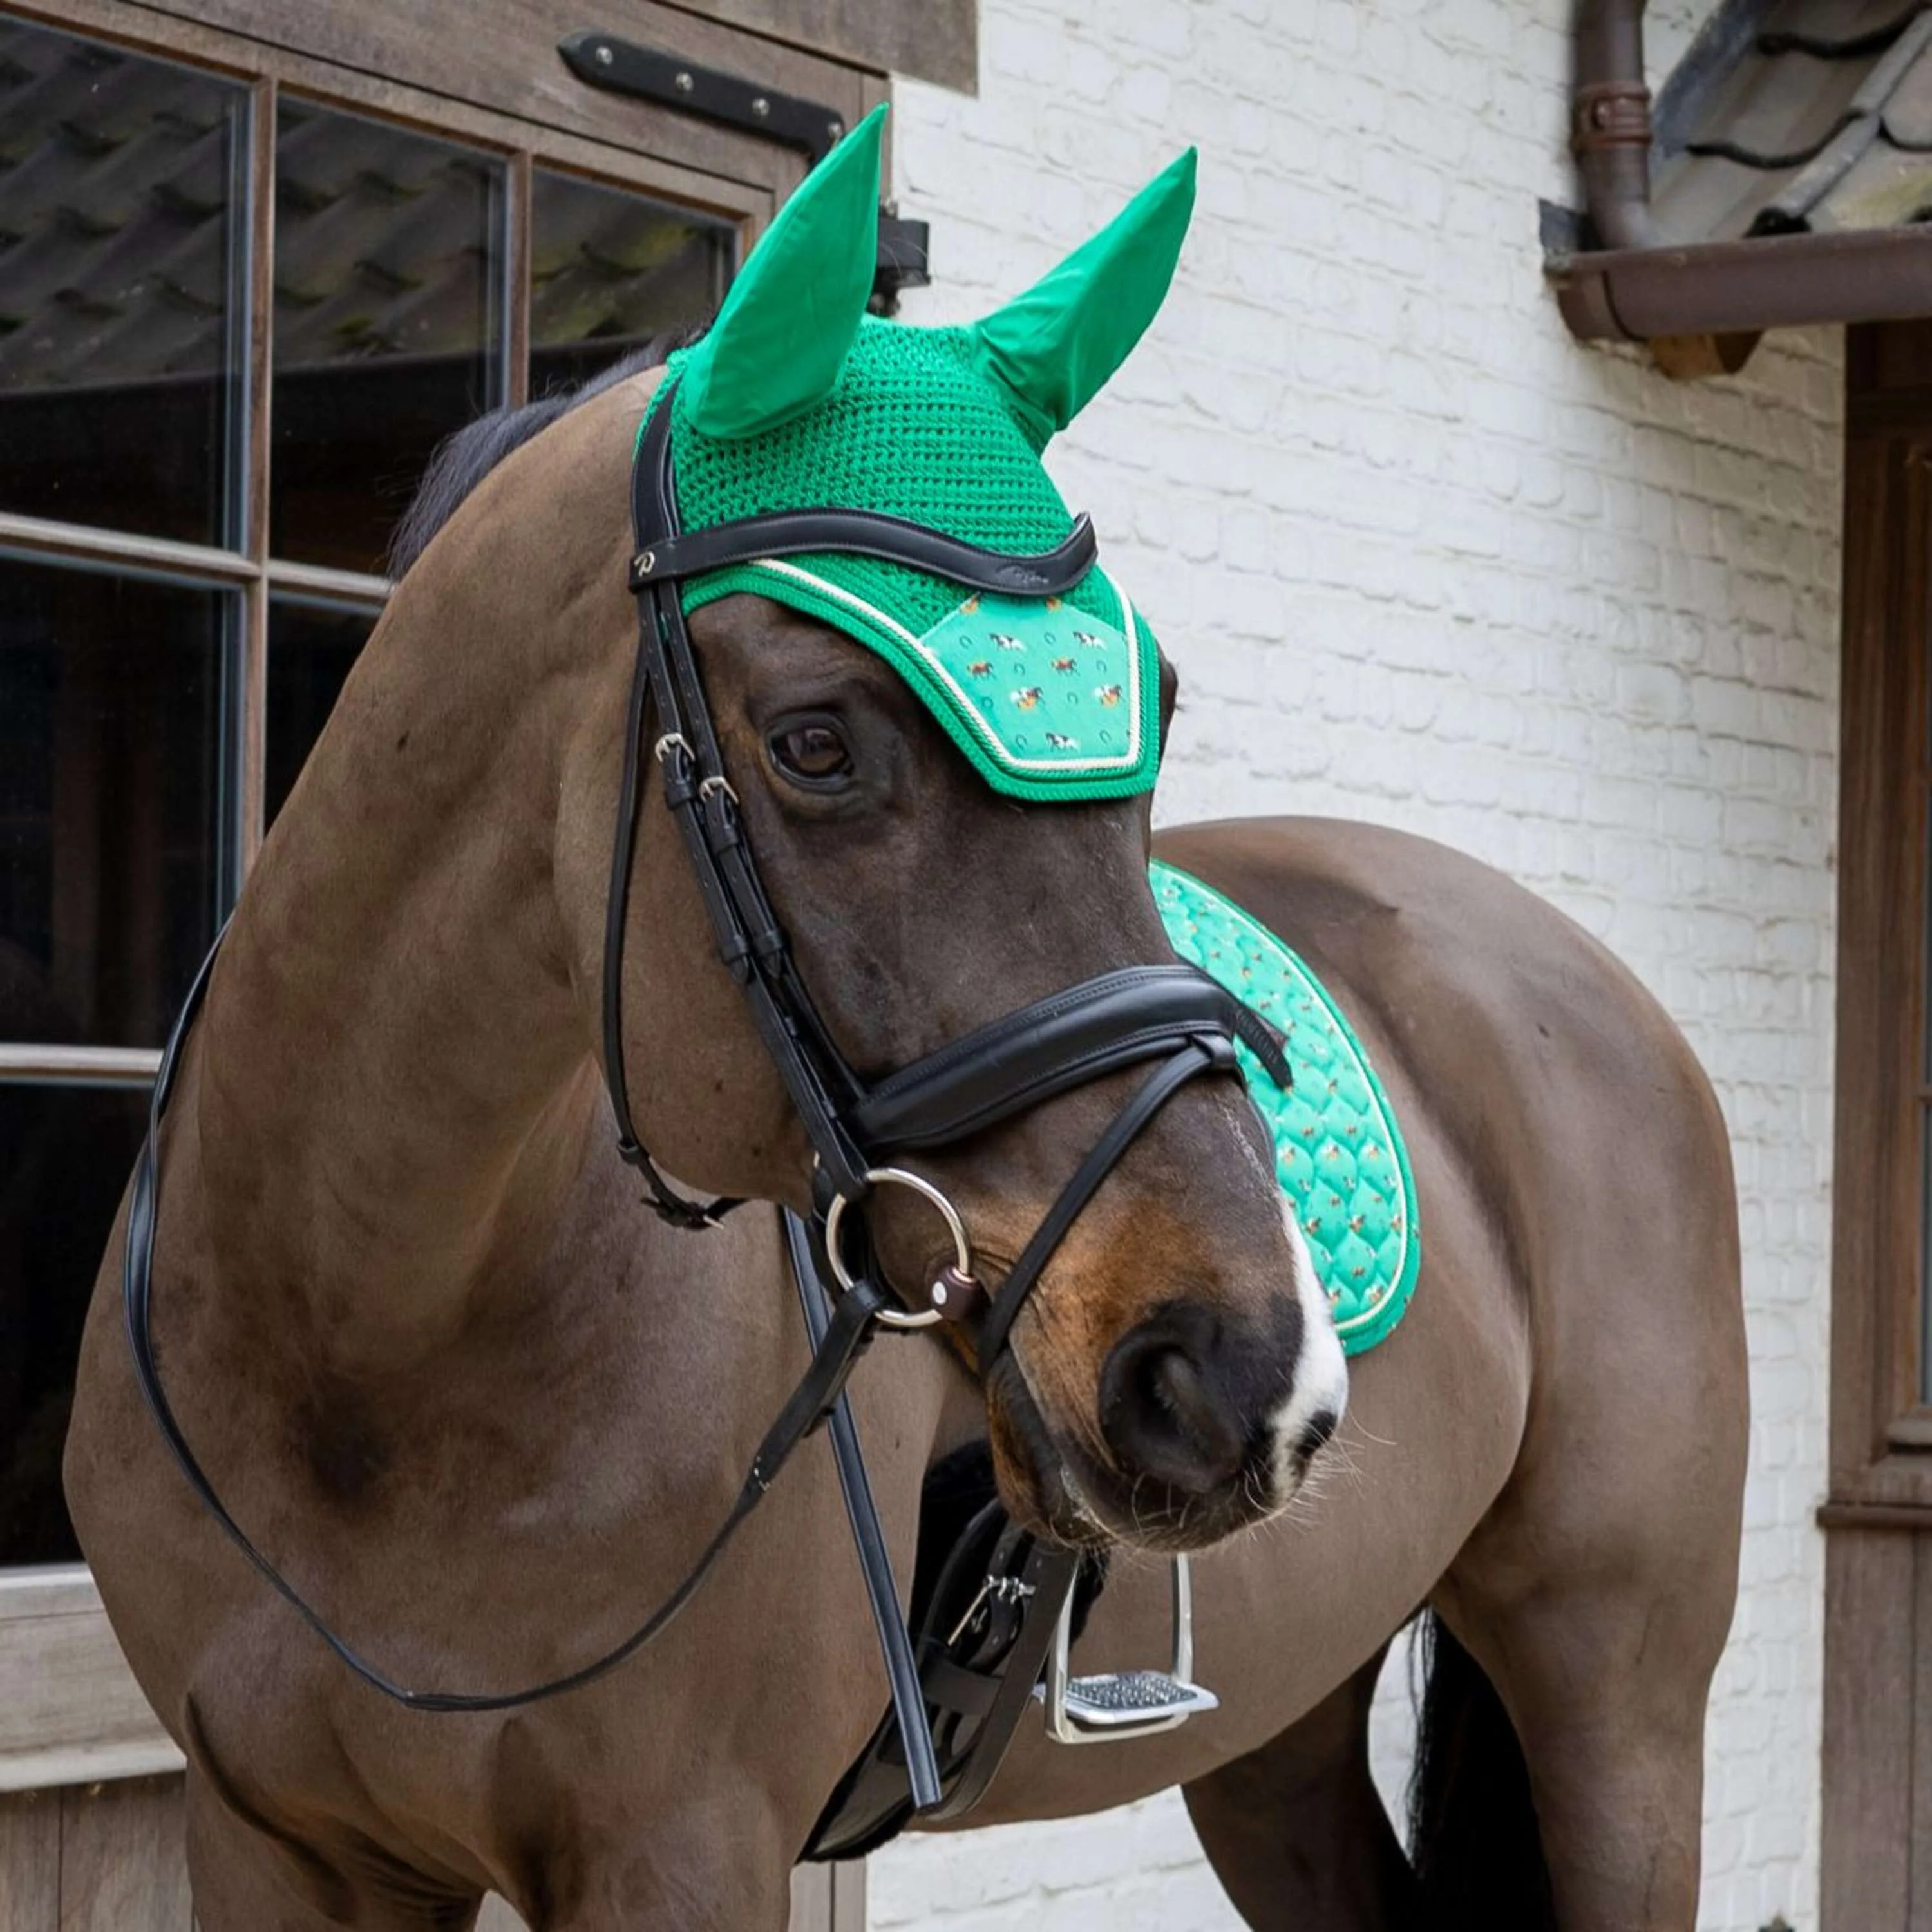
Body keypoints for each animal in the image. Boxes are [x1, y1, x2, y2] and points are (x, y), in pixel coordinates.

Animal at [63, 125, 1746, 1932]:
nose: (1246, 1371)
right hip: (1278, 1736)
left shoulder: (681, 1855)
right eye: (813, 741)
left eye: (1158, 705)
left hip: (1616, 1705)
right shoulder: (275, 1840)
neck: (364, 1357)